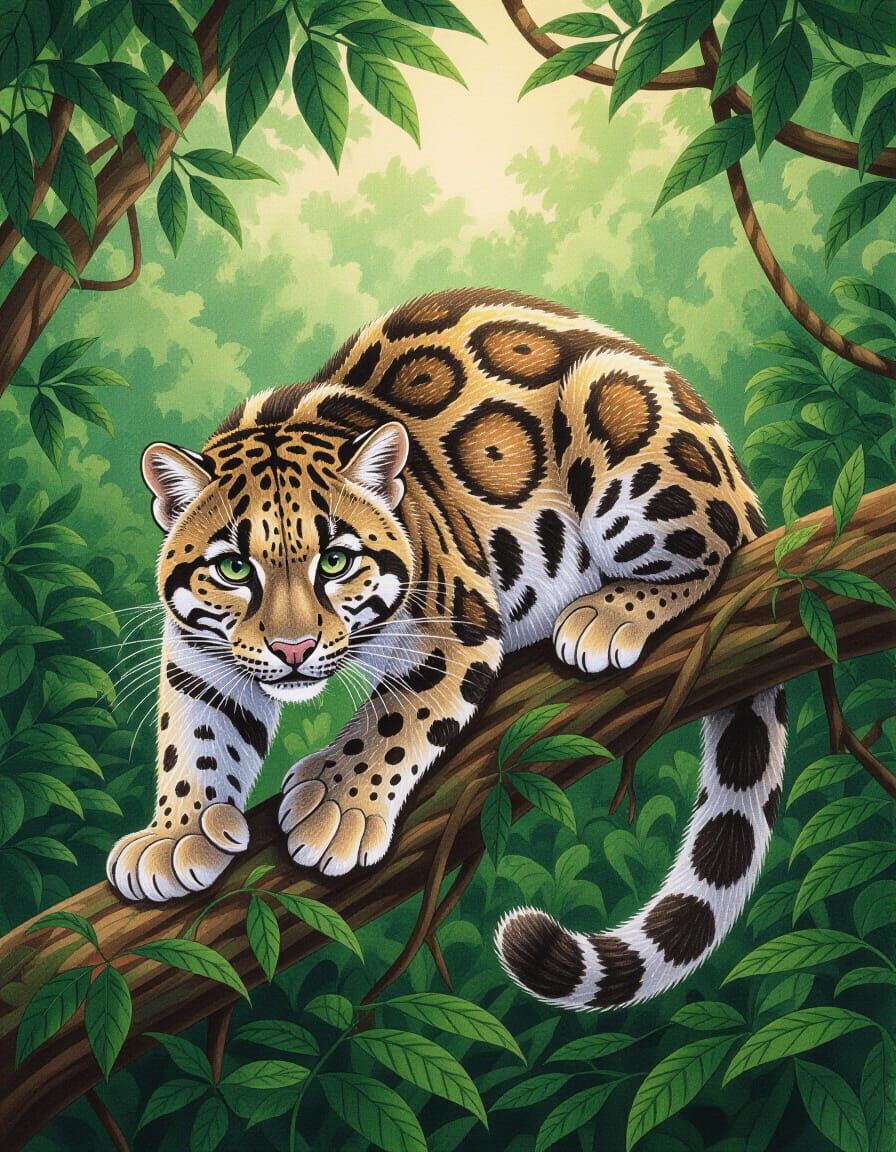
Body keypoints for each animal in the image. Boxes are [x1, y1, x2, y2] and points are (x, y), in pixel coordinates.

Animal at [107, 288, 786, 1010]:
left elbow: (394, 720)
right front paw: (177, 833)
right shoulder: (200, 654)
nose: (294, 648)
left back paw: (606, 615)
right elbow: (195, 735)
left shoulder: (455, 625)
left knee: (714, 549)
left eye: (336, 560)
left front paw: (336, 805)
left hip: (618, 427)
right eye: (234, 569)